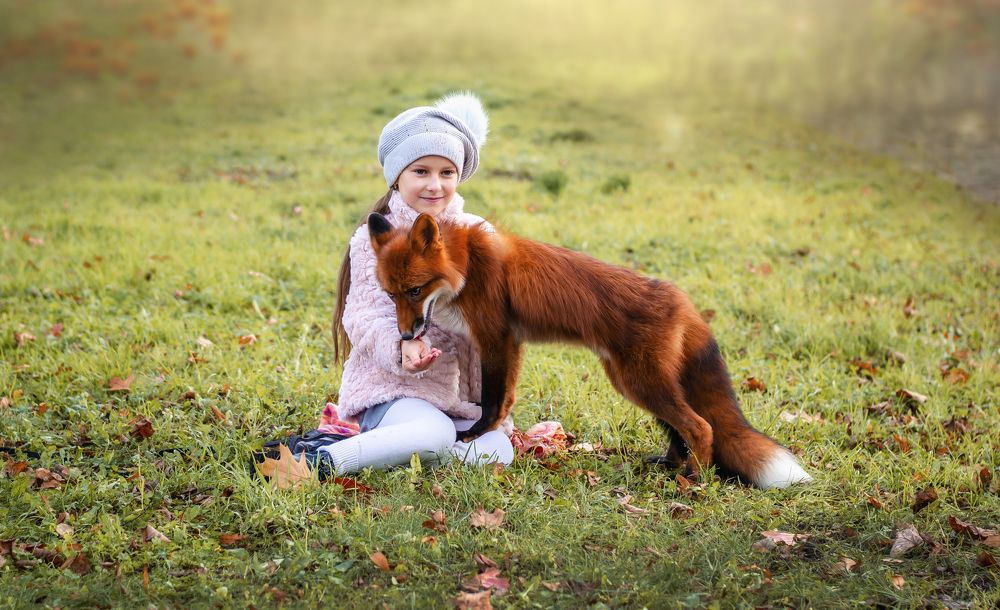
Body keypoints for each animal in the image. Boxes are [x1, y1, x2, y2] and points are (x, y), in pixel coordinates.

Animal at [366, 212, 812, 489]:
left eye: (414, 290)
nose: (405, 336)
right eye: (390, 295)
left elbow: (493, 400)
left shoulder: (495, 338)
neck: (468, 264)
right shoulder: (510, 342)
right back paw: (669, 464)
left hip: (640, 382)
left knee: (701, 427)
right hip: (636, 382)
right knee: (680, 428)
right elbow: (505, 398)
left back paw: (694, 479)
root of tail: (683, 301)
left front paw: (477, 432)